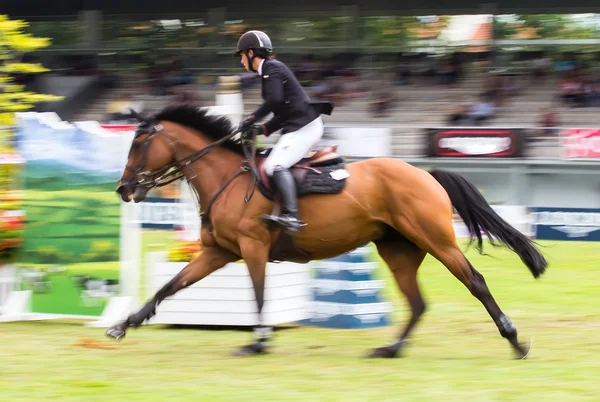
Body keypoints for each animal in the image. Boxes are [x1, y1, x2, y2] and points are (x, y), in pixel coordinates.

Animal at [105, 103, 548, 358]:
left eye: (138, 144)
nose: (124, 189)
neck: (226, 178)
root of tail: (426, 174)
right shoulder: (220, 252)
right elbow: (169, 286)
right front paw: (124, 324)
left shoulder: (252, 248)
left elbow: (259, 295)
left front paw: (258, 341)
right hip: (398, 250)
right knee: (418, 302)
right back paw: (391, 348)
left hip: (436, 240)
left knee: (475, 281)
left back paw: (514, 339)